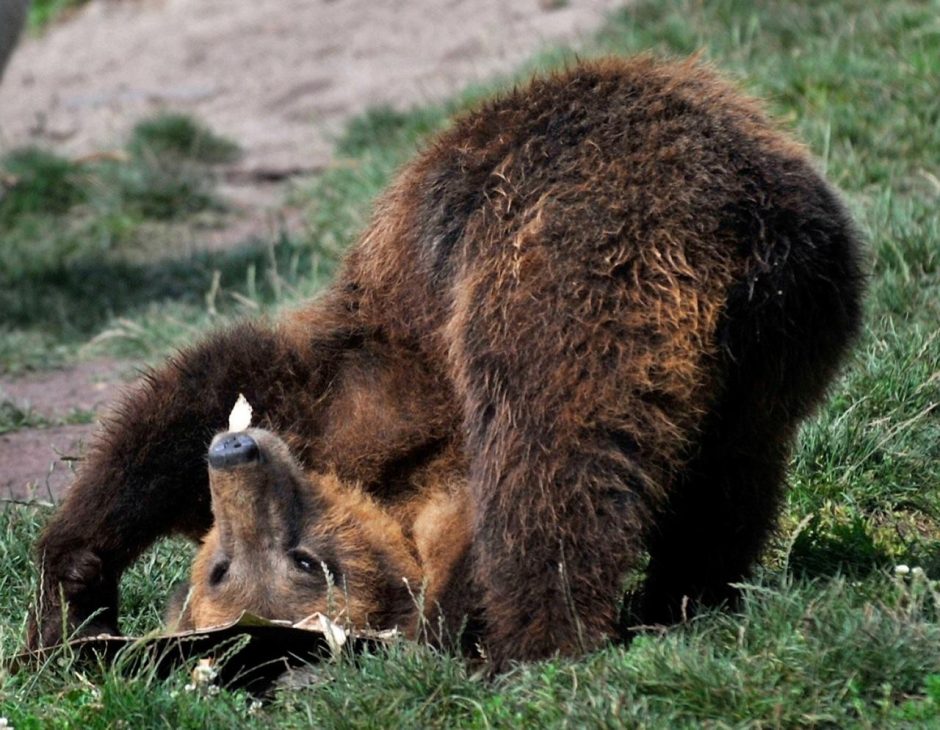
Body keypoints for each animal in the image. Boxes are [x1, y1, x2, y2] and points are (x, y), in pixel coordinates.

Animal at [27, 57, 868, 664]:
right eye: (222, 570)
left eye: (305, 561)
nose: (238, 455)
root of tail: (725, 233)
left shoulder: (377, 376)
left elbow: (209, 387)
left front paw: (69, 596)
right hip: (790, 322)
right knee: (731, 473)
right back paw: (682, 599)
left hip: (568, 268)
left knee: (553, 461)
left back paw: (537, 642)